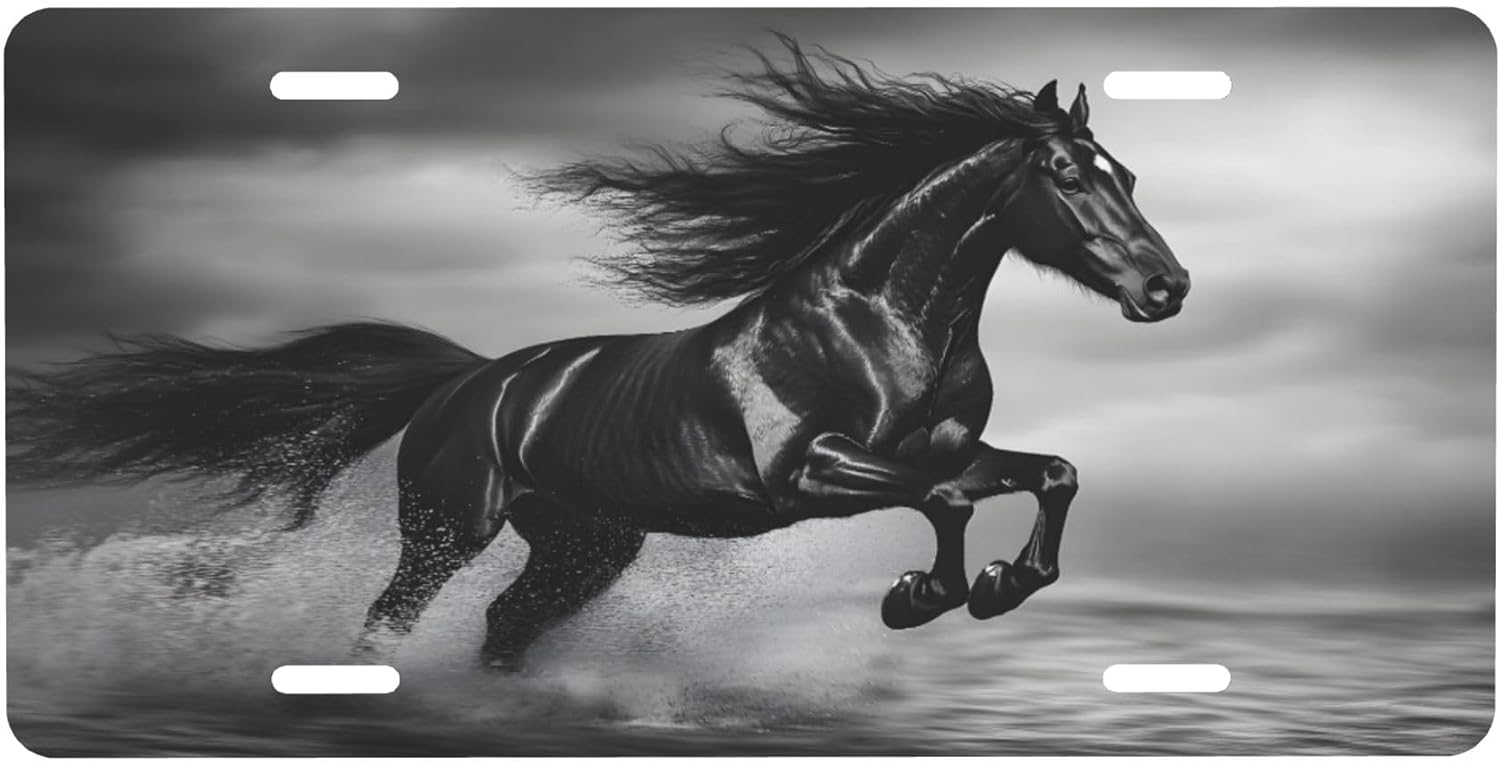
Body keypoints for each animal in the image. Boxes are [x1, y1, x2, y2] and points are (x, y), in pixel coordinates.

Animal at [7, 38, 1189, 669]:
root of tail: (467, 382)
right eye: (1069, 177)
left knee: (504, 624)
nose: (1165, 289)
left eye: (1126, 174)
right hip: (450, 528)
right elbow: (943, 499)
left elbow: (1045, 473)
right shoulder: (804, 472)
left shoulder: (945, 451)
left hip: (586, 547)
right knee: (393, 619)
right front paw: (925, 596)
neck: (877, 323)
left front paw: (997, 584)